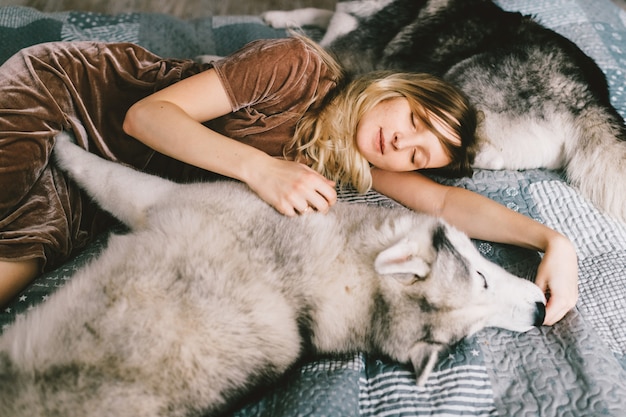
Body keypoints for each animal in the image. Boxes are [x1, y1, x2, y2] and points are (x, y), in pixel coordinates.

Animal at [0, 134, 544, 416]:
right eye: (482, 278)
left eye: (477, 329)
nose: (540, 313)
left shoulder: (159, 197)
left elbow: (104, 174)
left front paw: (62, 146)